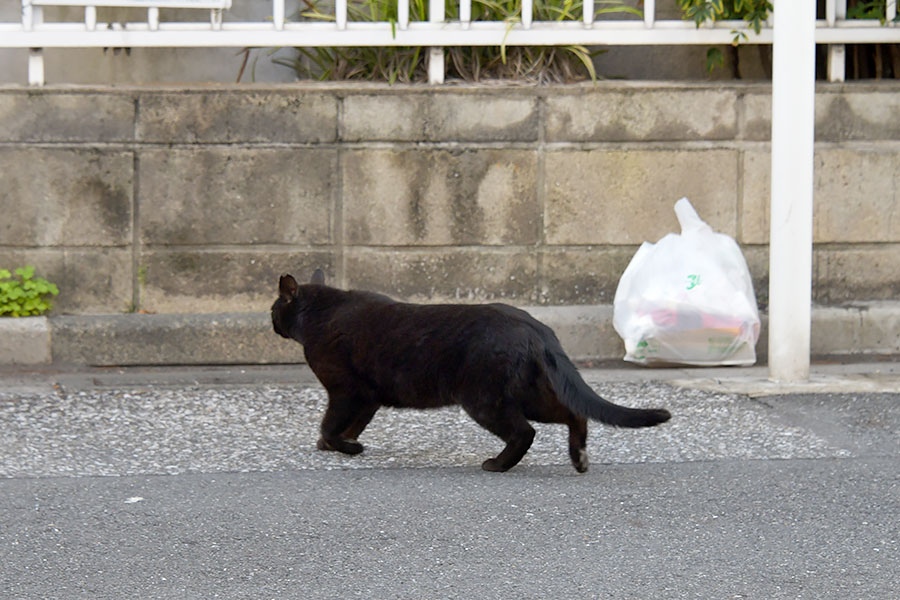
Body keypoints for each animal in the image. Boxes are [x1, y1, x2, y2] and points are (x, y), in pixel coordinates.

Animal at [270, 270, 672, 474]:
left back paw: (496, 465)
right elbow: (352, 424)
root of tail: (534, 325)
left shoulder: (345, 390)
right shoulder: (369, 397)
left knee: (525, 432)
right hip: (525, 393)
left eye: (274, 308)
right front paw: (341, 444)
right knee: (574, 413)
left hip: (484, 399)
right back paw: (579, 459)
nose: (271, 322)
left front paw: (342, 447)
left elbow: (330, 423)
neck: (319, 314)